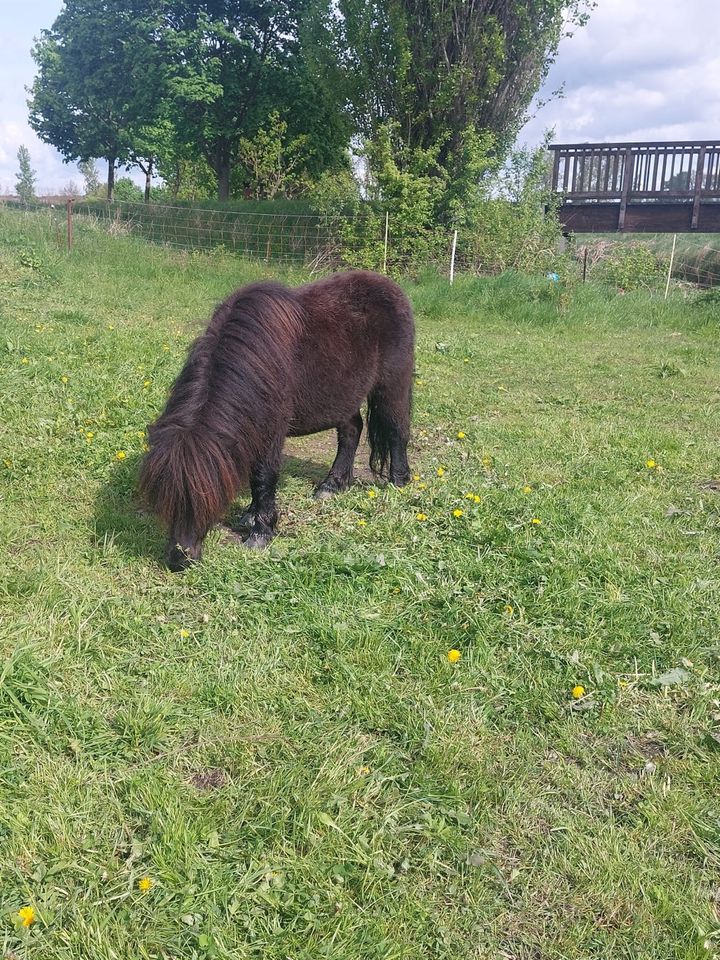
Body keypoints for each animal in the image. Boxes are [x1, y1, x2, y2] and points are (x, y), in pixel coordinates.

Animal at [139, 268, 416, 568]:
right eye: (164, 499)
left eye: (205, 497)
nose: (179, 559)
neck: (254, 360)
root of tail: (390, 287)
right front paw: (250, 516)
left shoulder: (271, 431)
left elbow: (263, 476)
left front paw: (261, 533)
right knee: (351, 431)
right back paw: (332, 486)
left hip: (391, 385)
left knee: (396, 430)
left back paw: (399, 483)